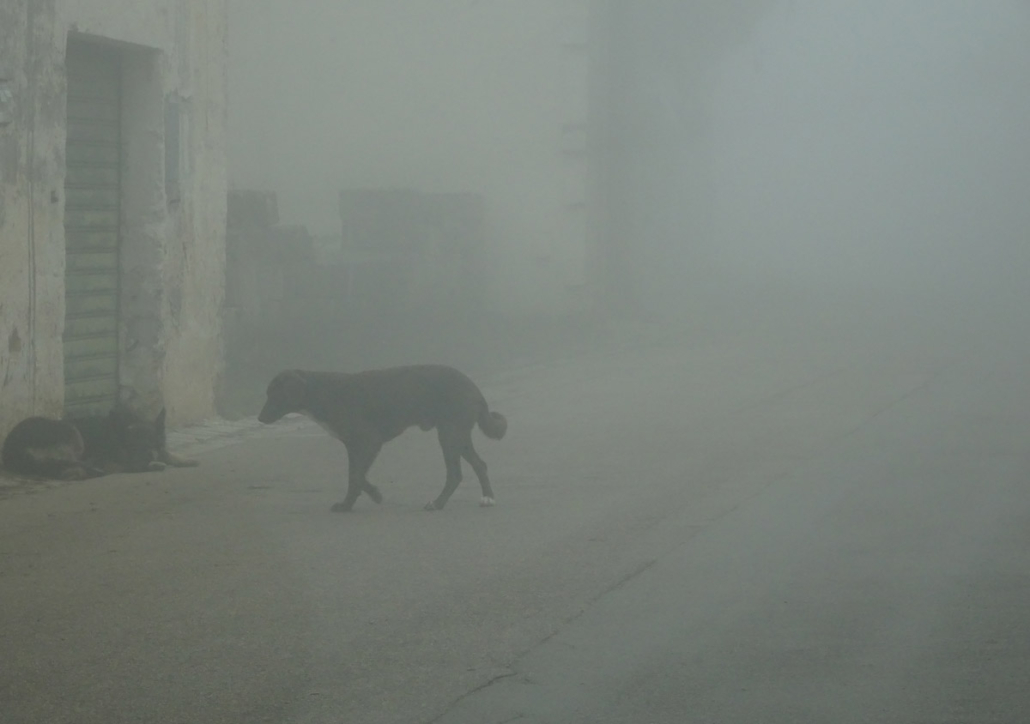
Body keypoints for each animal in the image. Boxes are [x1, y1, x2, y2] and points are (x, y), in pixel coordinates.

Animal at [0, 407, 198, 481]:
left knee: (63, 470)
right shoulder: (117, 459)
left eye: (152, 445)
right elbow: (130, 465)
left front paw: (184, 459)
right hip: (72, 431)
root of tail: (11, 447)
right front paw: (154, 464)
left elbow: (167, 452)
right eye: (134, 447)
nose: (148, 456)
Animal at [257, 364, 506, 512]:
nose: (259, 418)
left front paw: (372, 496)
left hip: (449, 434)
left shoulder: (369, 441)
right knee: (480, 464)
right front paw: (349, 503)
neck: (322, 392)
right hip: (457, 436)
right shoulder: (353, 447)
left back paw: (437, 503)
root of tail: (474, 387)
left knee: (455, 474)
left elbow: (357, 476)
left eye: (275, 393)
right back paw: (488, 498)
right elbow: (354, 476)